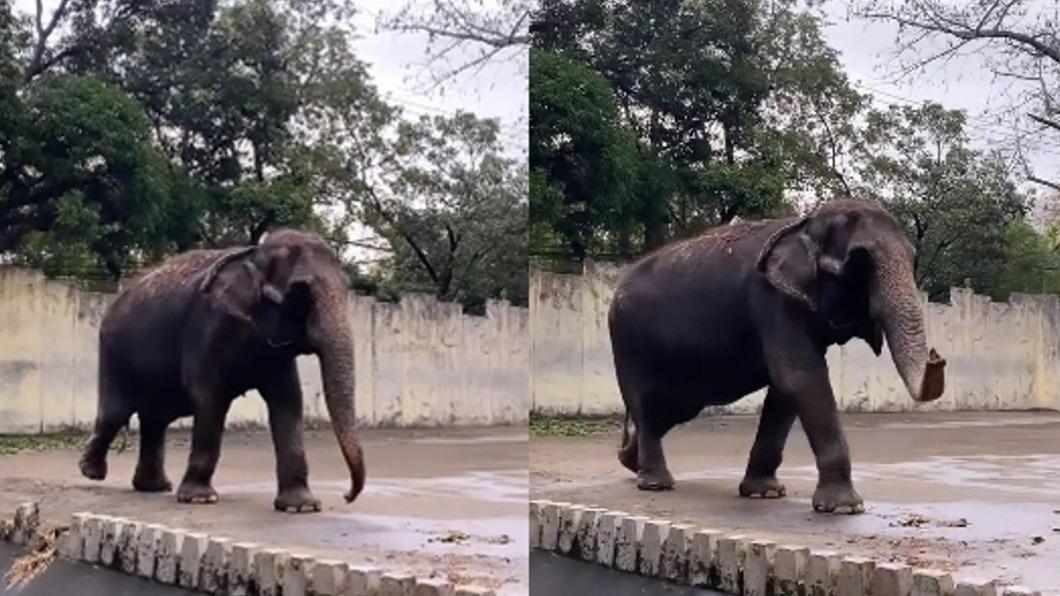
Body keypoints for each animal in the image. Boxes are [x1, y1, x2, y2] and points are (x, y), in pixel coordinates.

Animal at [78, 229, 365, 512]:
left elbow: (288, 400)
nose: (346, 496)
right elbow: (209, 396)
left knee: (154, 419)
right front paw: (200, 499)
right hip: (114, 352)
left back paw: (154, 487)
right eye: (299, 293)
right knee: (116, 413)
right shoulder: (207, 327)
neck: (254, 255)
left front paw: (302, 506)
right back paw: (92, 472)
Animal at [608, 200, 946, 514]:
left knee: (674, 409)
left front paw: (765, 493)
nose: (937, 356)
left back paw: (629, 461)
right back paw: (655, 483)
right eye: (859, 262)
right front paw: (843, 508)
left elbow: (786, 391)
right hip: (627, 342)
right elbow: (801, 375)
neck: (804, 224)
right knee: (647, 405)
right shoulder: (771, 299)